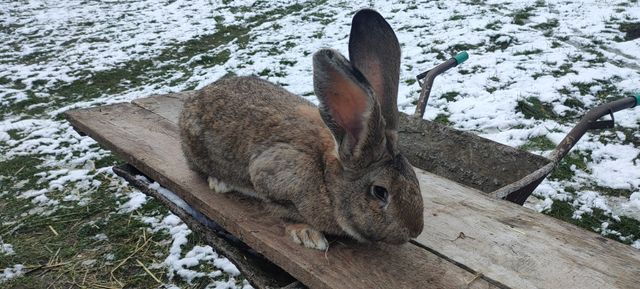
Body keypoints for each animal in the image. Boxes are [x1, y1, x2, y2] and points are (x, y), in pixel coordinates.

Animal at [178, 7, 422, 249]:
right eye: (380, 192)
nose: (414, 231)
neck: (327, 180)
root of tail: (195, 98)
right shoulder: (269, 180)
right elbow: (284, 213)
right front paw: (309, 235)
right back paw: (219, 183)